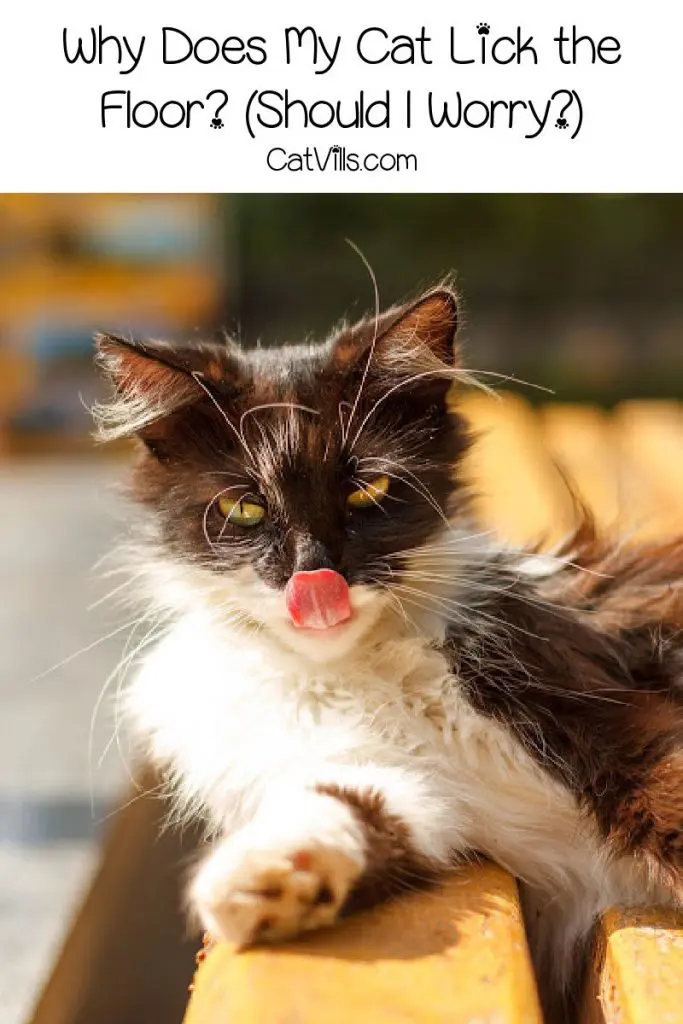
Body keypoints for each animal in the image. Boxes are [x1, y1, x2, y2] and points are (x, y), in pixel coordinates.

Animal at [94, 284, 683, 1019]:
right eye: (245, 508)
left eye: (365, 490)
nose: (314, 577)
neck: (356, 668)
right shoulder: (391, 780)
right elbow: (341, 809)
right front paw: (261, 880)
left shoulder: (604, 706)